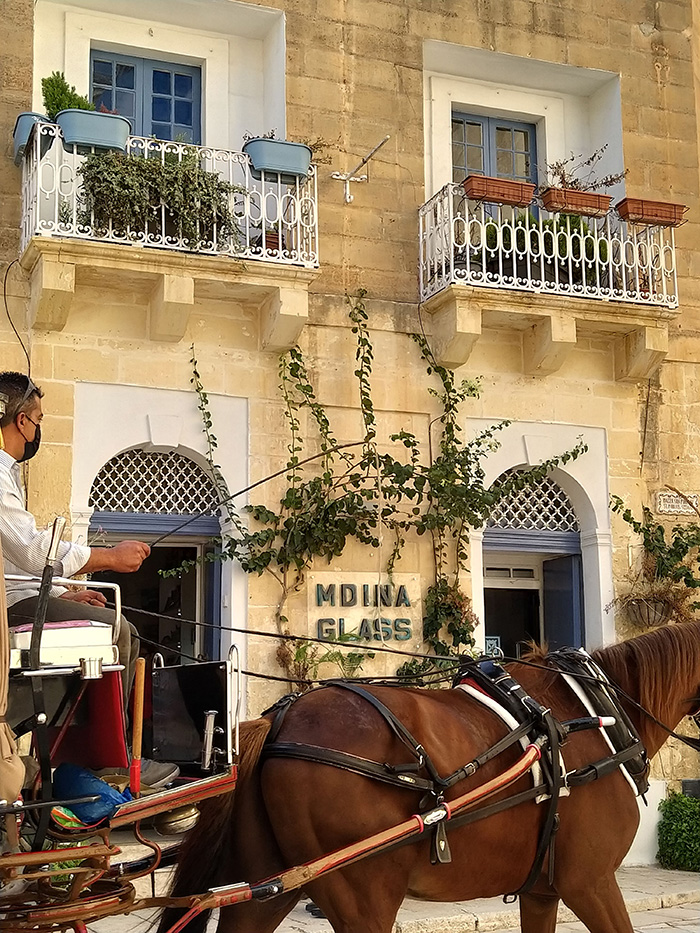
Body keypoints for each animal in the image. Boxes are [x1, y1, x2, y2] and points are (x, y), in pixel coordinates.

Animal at [160, 620, 700, 932]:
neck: (595, 711)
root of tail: (279, 721)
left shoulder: (542, 892)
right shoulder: (589, 881)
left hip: (270, 886)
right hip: (361, 898)